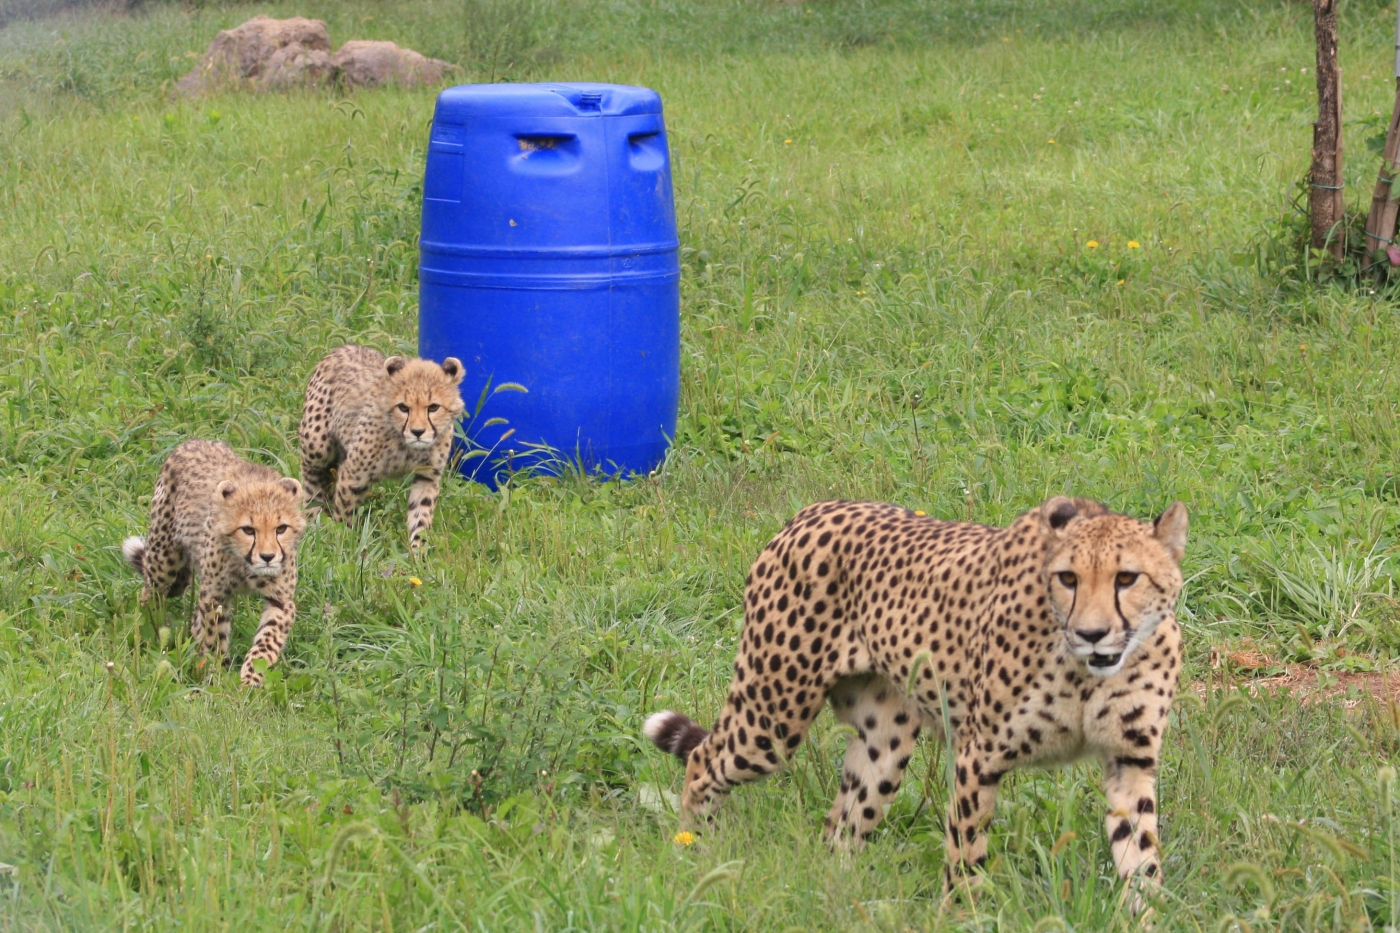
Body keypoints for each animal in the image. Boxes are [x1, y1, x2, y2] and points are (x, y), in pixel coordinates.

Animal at [644, 498, 1181, 896]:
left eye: (1127, 577)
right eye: (1068, 578)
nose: (1092, 633)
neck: (1092, 673)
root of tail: (811, 511)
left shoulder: (1129, 761)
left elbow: (1142, 861)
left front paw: (1145, 916)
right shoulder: (977, 756)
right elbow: (966, 858)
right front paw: (963, 917)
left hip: (882, 747)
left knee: (841, 825)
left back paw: (840, 893)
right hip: (772, 719)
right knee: (705, 760)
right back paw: (693, 851)